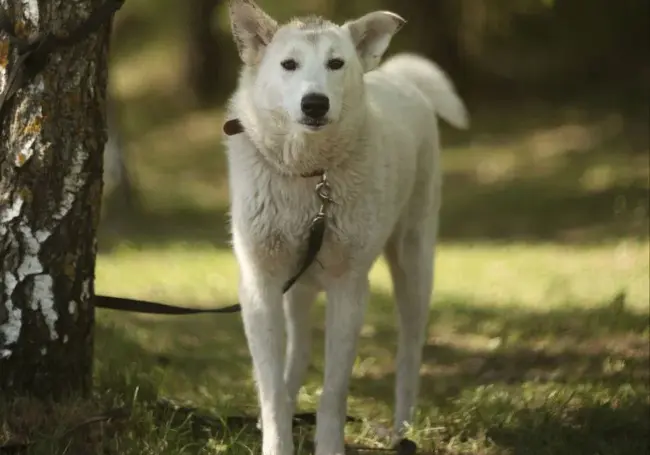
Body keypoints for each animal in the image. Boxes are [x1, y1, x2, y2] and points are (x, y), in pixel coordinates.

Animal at [221, 1, 466, 454]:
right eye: (288, 64)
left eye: (336, 63)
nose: (315, 104)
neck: (310, 177)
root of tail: (398, 76)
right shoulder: (260, 285)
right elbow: (270, 390)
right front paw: (277, 437)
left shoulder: (349, 287)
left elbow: (333, 393)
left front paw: (329, 444)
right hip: (296, 287)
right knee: (298, 350)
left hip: (413, 265)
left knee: (409, 353)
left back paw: (402, 430)